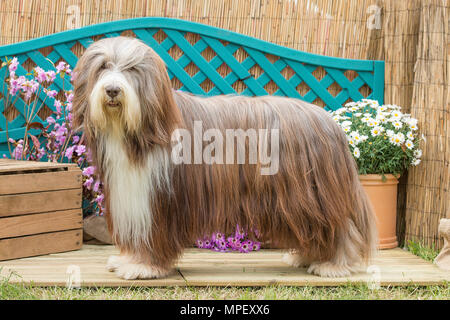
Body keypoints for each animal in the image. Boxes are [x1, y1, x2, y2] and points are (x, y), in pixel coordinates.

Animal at [72, 36, 378, 278]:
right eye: (103, 67)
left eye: (132, 69)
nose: (113, 90)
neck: (137, 131)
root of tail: (329, 120)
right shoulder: (133, 196)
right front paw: (128, 260)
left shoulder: (156, 201)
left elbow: (152, 237)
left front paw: (143, 267)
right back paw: (305, 256)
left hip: (312, 195)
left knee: (340, 227)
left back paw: (333, 265)